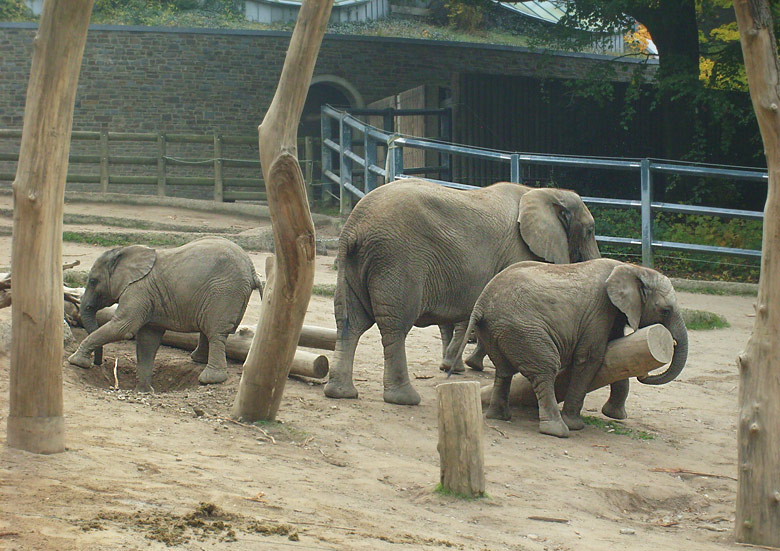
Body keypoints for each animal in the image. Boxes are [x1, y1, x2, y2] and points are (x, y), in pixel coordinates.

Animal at [67, 237, 262, 392]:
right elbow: (147, 339)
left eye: (93, 281)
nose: (98, 364)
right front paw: (144, 391)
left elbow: (123, 327)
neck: (125, 252)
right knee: (209, 330)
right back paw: (198, 360)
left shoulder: (139, 289)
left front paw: (75, 362)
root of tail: (252, 271)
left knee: (216, 332)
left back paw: (209, 379)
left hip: (224, 291)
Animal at [322, 179, 596, 408]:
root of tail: (352, 228)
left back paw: (341, 393)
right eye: (591, 230)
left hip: (356, 264)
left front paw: (462, 366)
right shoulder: (518, 253)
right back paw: (404, 399)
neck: (547, 193)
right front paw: (467, 366)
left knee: (350, 322)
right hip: (396, 259)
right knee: (395, 325)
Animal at [460, 260, 684, 440]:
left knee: (504, 370)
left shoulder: (613, 313)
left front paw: (615, 415)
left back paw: (500, 417)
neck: (633, 268)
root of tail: (480, 303)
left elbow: (618, 350)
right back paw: (558, 430)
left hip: (496, 330)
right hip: (523, 329)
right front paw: (576, 425)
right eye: (666, 311)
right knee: (546, 369)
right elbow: (591, 358)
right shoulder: (599, 310)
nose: (644, 376)